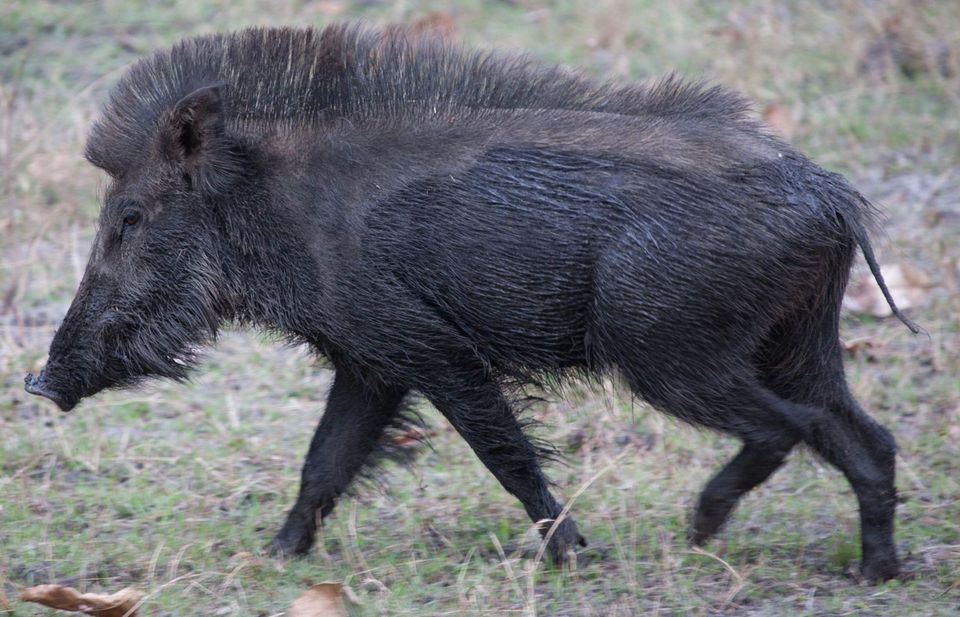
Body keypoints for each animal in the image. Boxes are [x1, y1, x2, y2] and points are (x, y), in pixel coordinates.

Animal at [24, 25, 918, 582]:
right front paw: (272, 558)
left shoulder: (432, 348)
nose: (38, 381)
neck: (276, 206)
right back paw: (873, 572)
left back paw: (698, 529)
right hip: (796, 341)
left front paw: (573, 554)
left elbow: (506, 455)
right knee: (866, 436)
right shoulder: (372, 362)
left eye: (130, 217)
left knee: (787, 428)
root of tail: (833, 199)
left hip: (671, 351)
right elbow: (324, 462)